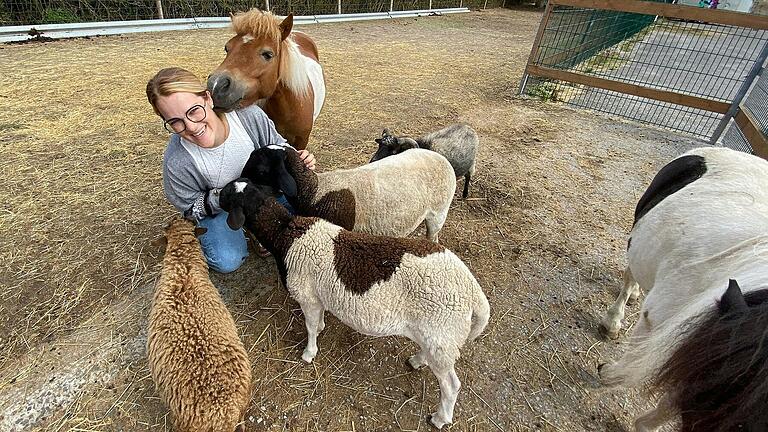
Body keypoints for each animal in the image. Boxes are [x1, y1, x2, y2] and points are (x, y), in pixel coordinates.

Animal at [219, 178, 488, 428]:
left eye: (228, 194)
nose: (214, 196)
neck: (285, 234)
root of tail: (472, 290)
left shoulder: (307, 296)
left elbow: (309, 328)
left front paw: (308, 353)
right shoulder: (317, 297)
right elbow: (318, 321)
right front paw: (321, 329)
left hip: (442, 331)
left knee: (451, 385)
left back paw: (440, 418)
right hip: (437, 334)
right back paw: (417, 361)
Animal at [240, 145, 456, 243]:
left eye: (261, 169)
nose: (240, 178)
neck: (314, 190)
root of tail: (440, 157)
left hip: (438, 212)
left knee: (433, 235)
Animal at [596, 147, 768, 430]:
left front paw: (645, 423)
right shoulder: (661, 320)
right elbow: (638, 355)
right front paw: (610, 374)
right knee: (631, 272)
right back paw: (614, 320)